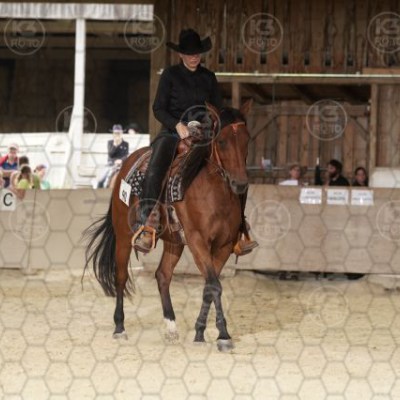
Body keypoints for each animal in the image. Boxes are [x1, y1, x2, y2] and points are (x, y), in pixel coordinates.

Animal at [84, 100, 252, 352]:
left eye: (246, 139)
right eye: (221, 140)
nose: (240, 184)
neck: (213, 192)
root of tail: (126, 165)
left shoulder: (223, 245)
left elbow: (209, 286)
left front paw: (200, 331)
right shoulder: (197, 241)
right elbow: (214, 285)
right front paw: (223, 335)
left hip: (175, 242)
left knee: (163, 275)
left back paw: (171, 327)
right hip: (124, 237)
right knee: (121, 277)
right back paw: (119, 328)